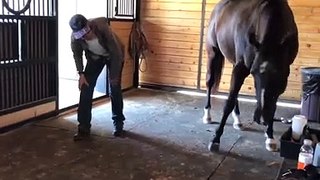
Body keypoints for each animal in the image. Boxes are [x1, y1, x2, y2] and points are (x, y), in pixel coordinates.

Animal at [204, 0, 298, 152]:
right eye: (253, 72)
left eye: (279, 75)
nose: (262, 118)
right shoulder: (241, 67)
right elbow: (228, 102)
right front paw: (215, 139)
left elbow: (274, 106)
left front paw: (270, 137)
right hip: (214, 53)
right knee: (210, 82)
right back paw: (207, 116)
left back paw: (238, 121)